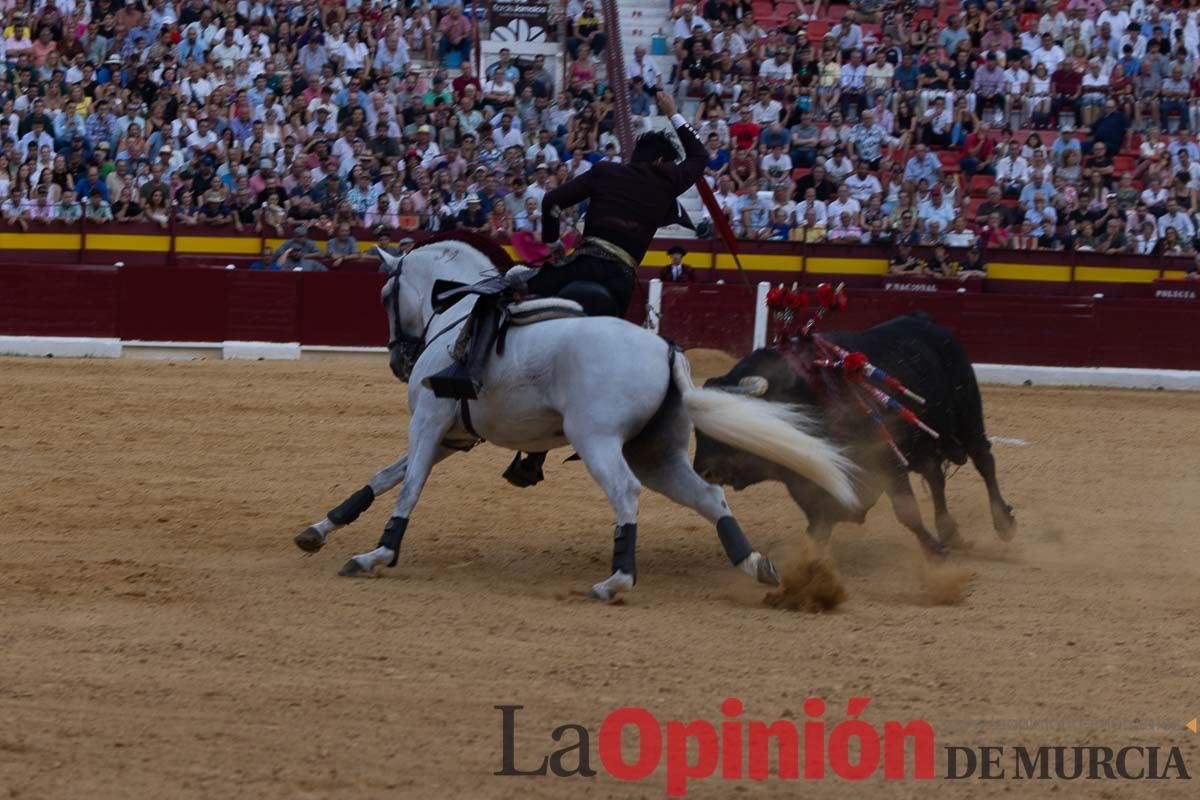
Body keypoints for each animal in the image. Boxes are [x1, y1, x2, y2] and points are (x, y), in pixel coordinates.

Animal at [295, 237, 854, 599]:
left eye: (385, 296)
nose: (398, 361)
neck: (455, 319)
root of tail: (666, 349)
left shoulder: (429, 423)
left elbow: (408, 486)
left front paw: (377, 554)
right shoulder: (452, 438)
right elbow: (385, 477)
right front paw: (319, 530)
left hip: (597, 439)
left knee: (626, 492)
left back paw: (617, 580)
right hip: (657, 452)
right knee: (708, 496)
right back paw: (756, 565)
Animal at [691, 314, 1017, 556]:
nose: (702, 471)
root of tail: (928, 323)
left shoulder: (886, 460)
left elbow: (906, 510)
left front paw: (935, 551)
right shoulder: (816, 486)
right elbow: (817, 529)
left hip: (969, 420)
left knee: (985, 461)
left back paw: (1003, 524)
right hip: (923, 445)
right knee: (936, 478)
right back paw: (951, 532)